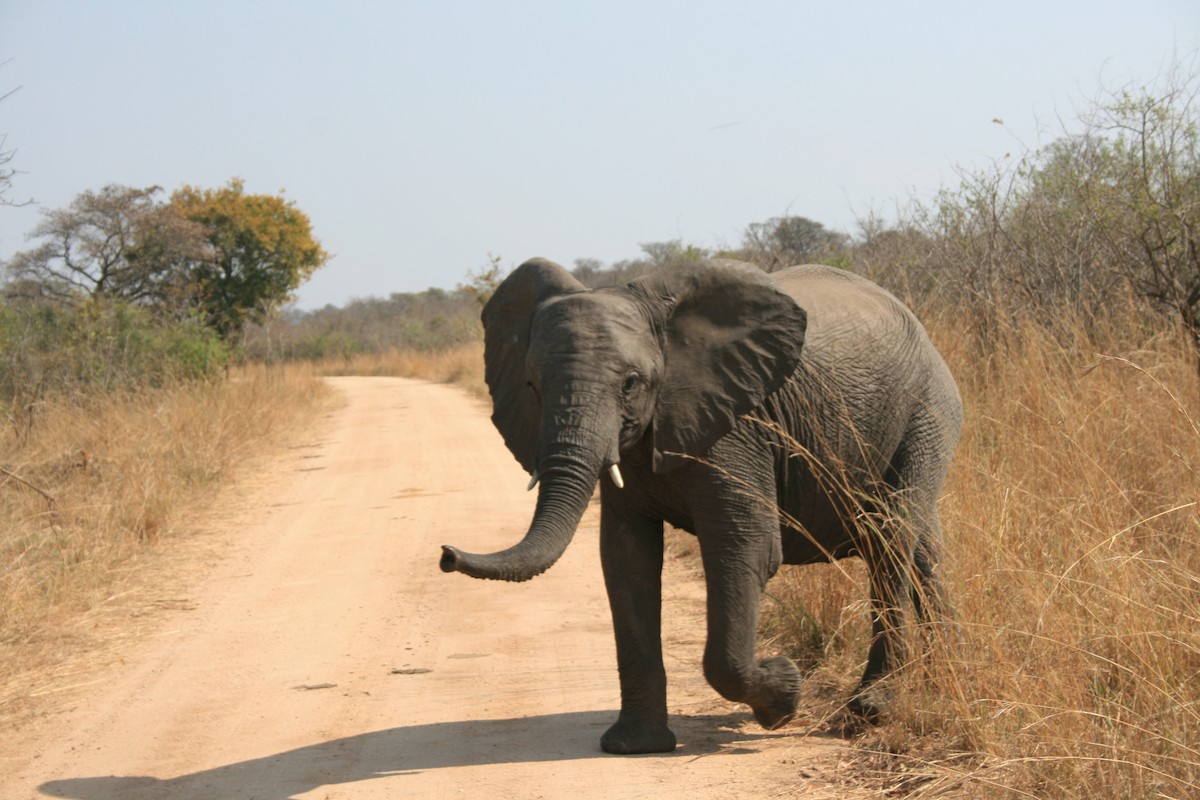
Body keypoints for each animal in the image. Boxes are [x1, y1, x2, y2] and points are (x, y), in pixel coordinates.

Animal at [440, 257, 963, 754]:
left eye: (631, 383)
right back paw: (947, 678)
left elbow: (745, 546)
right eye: (531, 385)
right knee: (924, 551)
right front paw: (633, 747)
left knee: (890, 537)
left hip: (927, 410)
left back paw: (872, 708)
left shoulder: (736, 428)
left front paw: (783, 698)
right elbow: (626, 559)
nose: (445, 554)